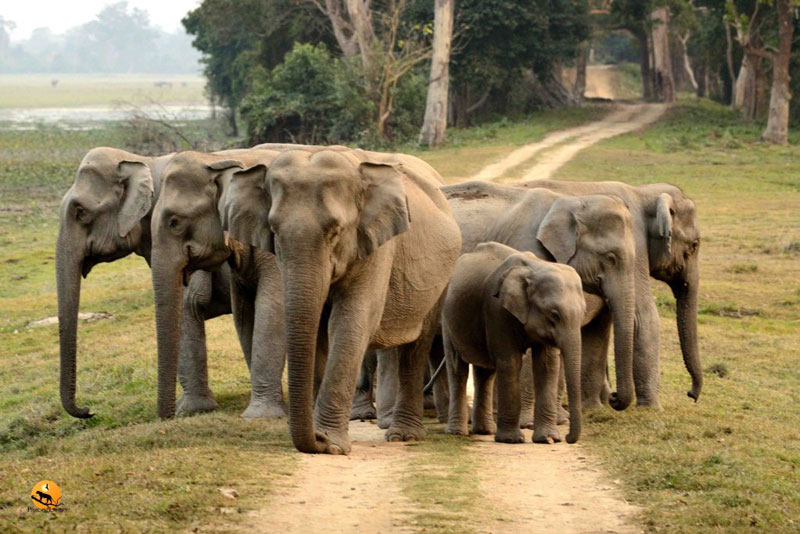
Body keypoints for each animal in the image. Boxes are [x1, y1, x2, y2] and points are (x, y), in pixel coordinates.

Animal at [225, 150, 462, 456]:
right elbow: (317, 330)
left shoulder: (376, 244)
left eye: (335, 231)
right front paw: (323, 438)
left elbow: (351, 320)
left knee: (416, 345)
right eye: (274, 231)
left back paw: (404, 436)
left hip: (442, 277)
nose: (318, 439)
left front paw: (332, 444)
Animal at [440, 243, 584, 444]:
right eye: (554, 314)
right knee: (457, 368)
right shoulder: (496, 309)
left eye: (583, 313)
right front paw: (512, 440)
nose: (569, 438)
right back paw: (457, 432)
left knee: (485, 372)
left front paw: (548, 439)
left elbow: (547, 365)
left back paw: (485, 431)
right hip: (447, 319)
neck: (535, 268)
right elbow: (510, 362)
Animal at [520, 180, 700, 410]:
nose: (691, 394)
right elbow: (644, 317)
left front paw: (597, 405)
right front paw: (652, 409)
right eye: (693, 246)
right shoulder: (634, 248)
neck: (643, 192)